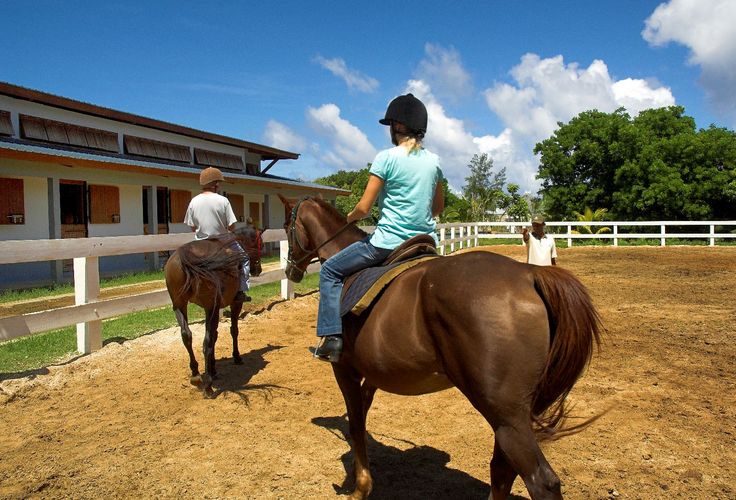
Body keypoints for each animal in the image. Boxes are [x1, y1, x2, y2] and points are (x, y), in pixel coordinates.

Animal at [165, 225, 263, 398]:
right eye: (261, 244)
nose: (258, 269)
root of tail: (185, 256)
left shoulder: (212, 309)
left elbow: (216, 335)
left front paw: (214, 368)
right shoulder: (233, 304)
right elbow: (233, 330)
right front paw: (236, 357)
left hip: (180, 306)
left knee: (187, 335)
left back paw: (196, 375)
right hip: (210, 307)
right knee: (206, 342)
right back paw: (208, 385)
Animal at [280, 195, 602, 500]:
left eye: (286, 227)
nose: (290, 271)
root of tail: (529, 275)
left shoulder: (344, 369)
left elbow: (357, 426)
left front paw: (360, 487)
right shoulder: (371, 375)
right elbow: (361, 417)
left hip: (506, 413)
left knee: (540, 481)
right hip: (514, 413)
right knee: (501, 470)